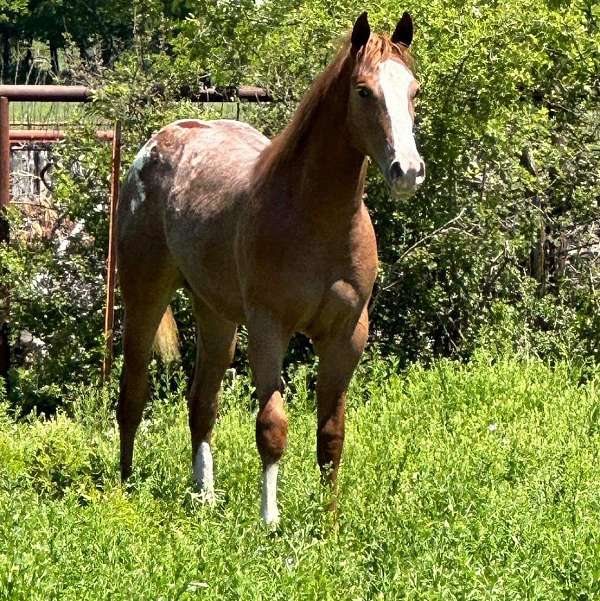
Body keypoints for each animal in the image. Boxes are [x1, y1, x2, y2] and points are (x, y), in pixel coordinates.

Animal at [117, 10, 424, 520]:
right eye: (364, 91)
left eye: (413, 90)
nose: (408, 171)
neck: (313, 216)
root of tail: (162, 140)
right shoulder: (268, 328)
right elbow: (272, 427)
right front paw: (270, 521)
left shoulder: (346, 334)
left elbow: (331, 435)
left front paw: (329, 521)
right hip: (144, 294)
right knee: (132, 393)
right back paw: (122, 489)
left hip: (215, 315)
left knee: (202, 402)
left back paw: (206, 497)